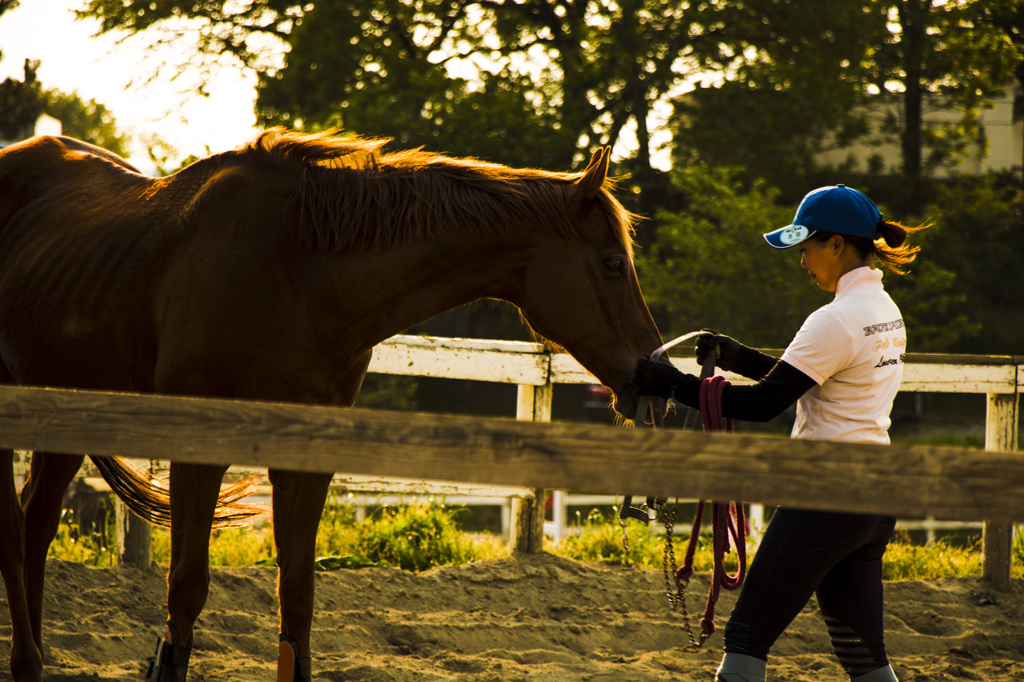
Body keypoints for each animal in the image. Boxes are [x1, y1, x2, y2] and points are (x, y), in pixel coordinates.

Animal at [0, 130, 663, 675]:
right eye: (612, 263)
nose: (651, 373)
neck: (297, 269)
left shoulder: (307, 456)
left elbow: (297, 594)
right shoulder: (200, 450)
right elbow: (185, 590)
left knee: (35, 523)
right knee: (15, 532)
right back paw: (28, 660)